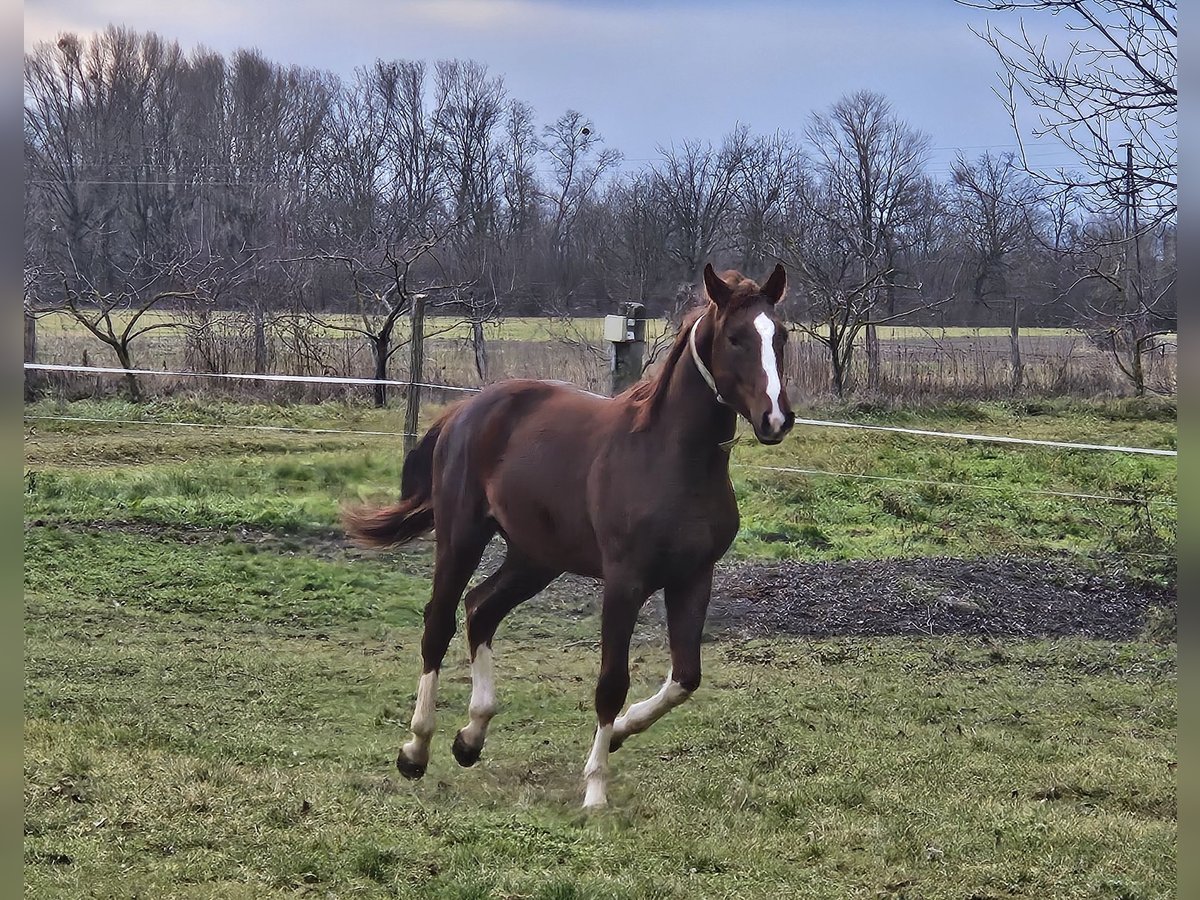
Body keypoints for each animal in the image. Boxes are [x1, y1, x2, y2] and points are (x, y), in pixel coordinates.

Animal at [345, 264, 796, 806]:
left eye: (782, 335)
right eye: (735, 338)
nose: (776, 419)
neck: (671, 458)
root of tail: (465, 412)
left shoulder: (693, 578)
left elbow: (685, 677)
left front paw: (620, 733)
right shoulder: (624, 581)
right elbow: (611, 682)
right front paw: (596, 790)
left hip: (536, 557)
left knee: (480, 609)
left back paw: (470, 738)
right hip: (462, 537)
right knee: (439, 622)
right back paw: (416, 750)